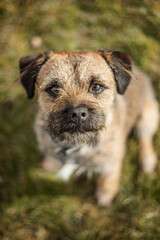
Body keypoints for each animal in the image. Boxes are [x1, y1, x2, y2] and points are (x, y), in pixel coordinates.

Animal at [18, 49, 159, 206]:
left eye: (96, 87)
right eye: (54, 89)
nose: (77, 113)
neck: (75, 146)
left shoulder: (112, 159)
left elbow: (108, 175)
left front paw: (105, 193)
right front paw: (50, 163)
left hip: (147, 116)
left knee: (145, 138)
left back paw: (147, 160)